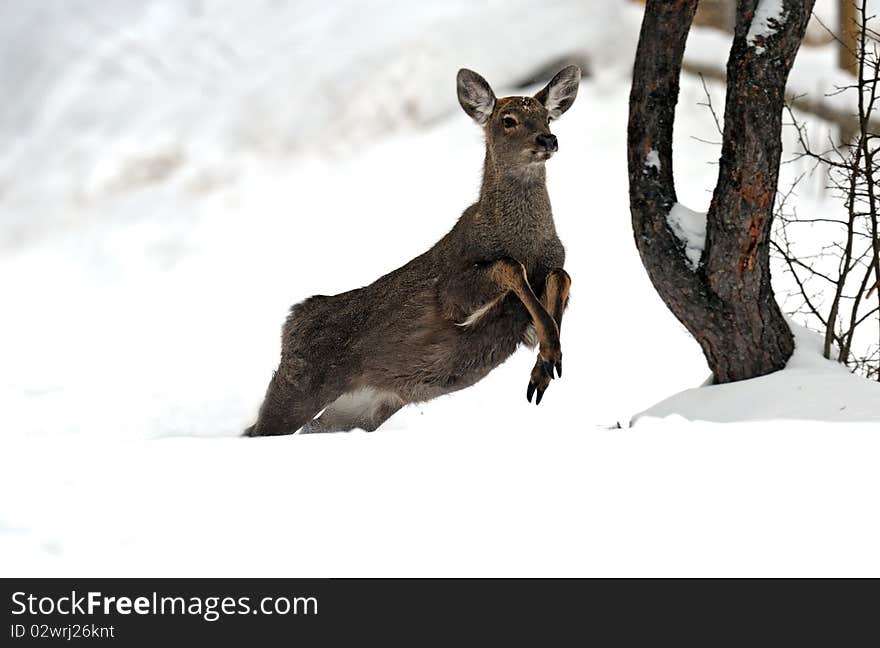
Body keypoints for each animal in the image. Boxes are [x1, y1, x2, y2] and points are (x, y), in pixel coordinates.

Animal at [244, 66, 580, 438]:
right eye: (508, 120)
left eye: (547, 117)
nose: (548, 140)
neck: (525, 241)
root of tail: (292, 322)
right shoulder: (453, 293)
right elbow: (509, 266)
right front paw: (549, 356)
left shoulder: (530, 311)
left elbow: (561, 277)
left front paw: (546, 363)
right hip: (301, 385)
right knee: (258, 429)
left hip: (362, 408)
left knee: (309, 428)